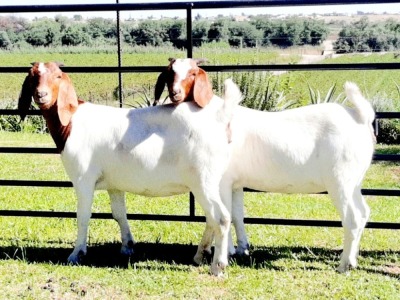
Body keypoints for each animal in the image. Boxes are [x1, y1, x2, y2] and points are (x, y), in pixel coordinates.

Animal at [159, 58, 376, 272]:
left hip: (340, 180)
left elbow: (222, 214)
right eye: (170, 72)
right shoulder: (236, 183)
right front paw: (241, 249)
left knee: (353, 218)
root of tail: (360, 117)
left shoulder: (222, 180)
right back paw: (353, 260)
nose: (175, 94)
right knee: (364, 213)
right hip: (354, 182)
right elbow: (237, 215)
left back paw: (344, 265)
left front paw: (224, 252)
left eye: (192, 73)